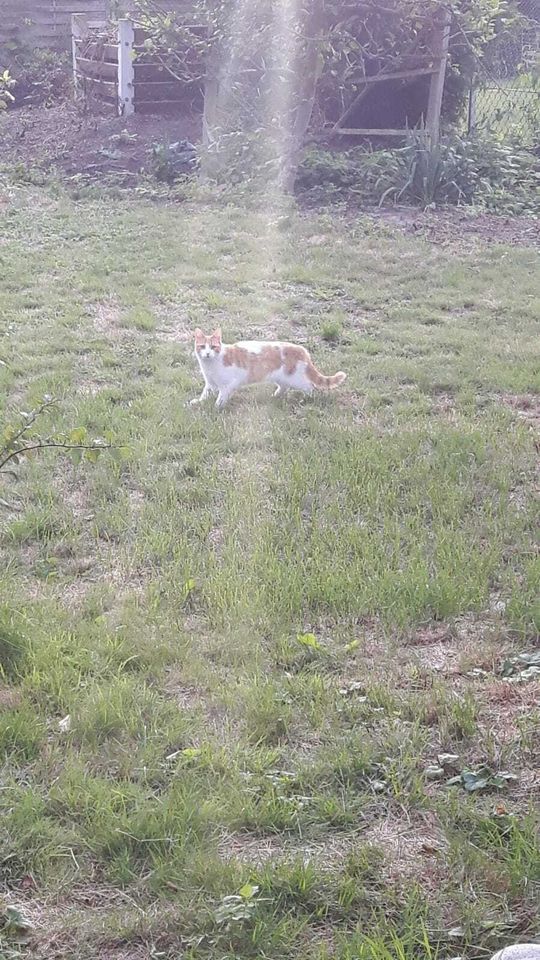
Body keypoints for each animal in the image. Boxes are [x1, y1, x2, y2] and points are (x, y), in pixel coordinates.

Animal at [192, 328, 348, 406]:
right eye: (202, 347)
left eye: (213, 347)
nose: (207, 354)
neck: (210, 365)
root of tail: (302, 349)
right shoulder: (210, 383)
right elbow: (205, 393)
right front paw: (199, 402)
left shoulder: (228, 385)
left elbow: (221, 397)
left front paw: (216, 407)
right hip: (281, 377)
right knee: (284, 387)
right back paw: (275, 396)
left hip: (295, 378)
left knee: (310, 387)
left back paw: (306, 400)